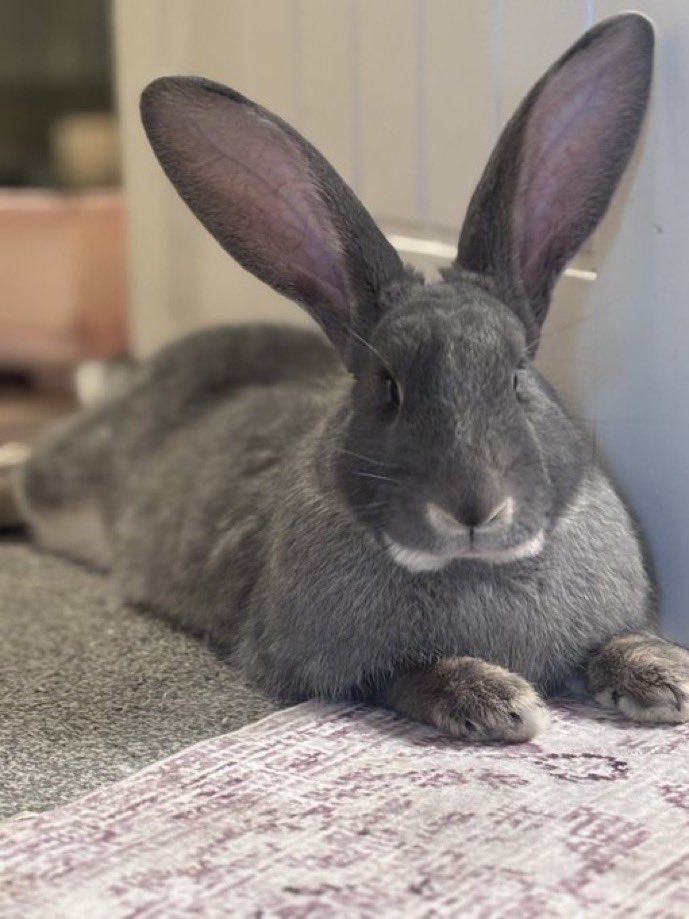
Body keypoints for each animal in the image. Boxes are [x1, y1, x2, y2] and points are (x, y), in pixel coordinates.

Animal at [14, 12, 689, 742]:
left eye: (517, 375)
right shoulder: (334, 668)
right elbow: (407, 676)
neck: (474, 565)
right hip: (67, 479)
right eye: (386, 386)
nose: (474, 508)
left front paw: (664, 677)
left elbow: (613, 643)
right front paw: (498, 701)